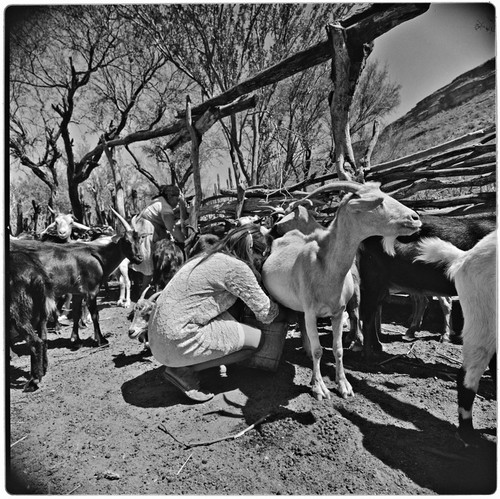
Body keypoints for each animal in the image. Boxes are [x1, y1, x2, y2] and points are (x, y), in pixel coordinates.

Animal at [9, 249, 57, 390]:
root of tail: (37, 274)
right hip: (42, 315)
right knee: (43, 339)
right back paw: (42, 371)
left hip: (18, 314)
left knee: (35, 342)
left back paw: (33, 381)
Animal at [10, 211, 144, 352]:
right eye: (127, 241)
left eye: (140, 239)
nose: (139, 258)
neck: (99, 256)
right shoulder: (91, 291)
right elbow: (95, 314)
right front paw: (101, 340)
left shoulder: (78, 292)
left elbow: (76, 313)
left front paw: (75, 340)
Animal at [262, 182, 422, 400]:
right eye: (378, 202)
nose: (415, 218)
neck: (325, 268)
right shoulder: (312, 312)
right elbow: (319, 350)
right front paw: (319, 387)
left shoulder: (338, 311)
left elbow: (338, 349)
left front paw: (343, 385)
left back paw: (306, 350)